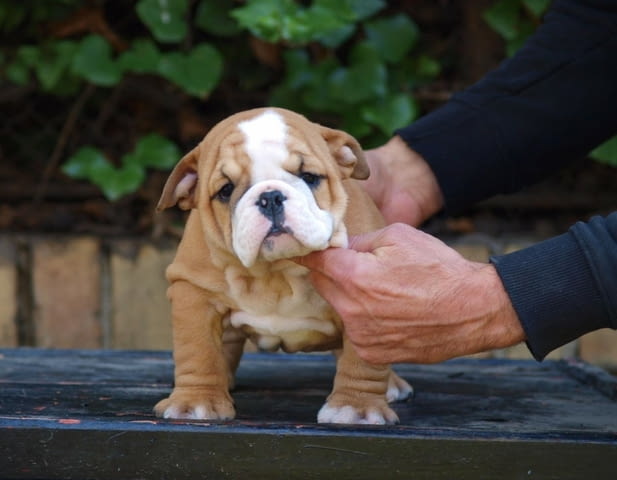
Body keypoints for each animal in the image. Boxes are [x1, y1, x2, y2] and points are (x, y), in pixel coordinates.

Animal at [155, 109, 414, 424]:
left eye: (309, 177)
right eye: (225, 190)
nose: (270, 197)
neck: (277, 270)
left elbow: (361, 360)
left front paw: (356, 408)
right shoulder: (193, 291)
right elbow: (198, 349)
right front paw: (195, 401)